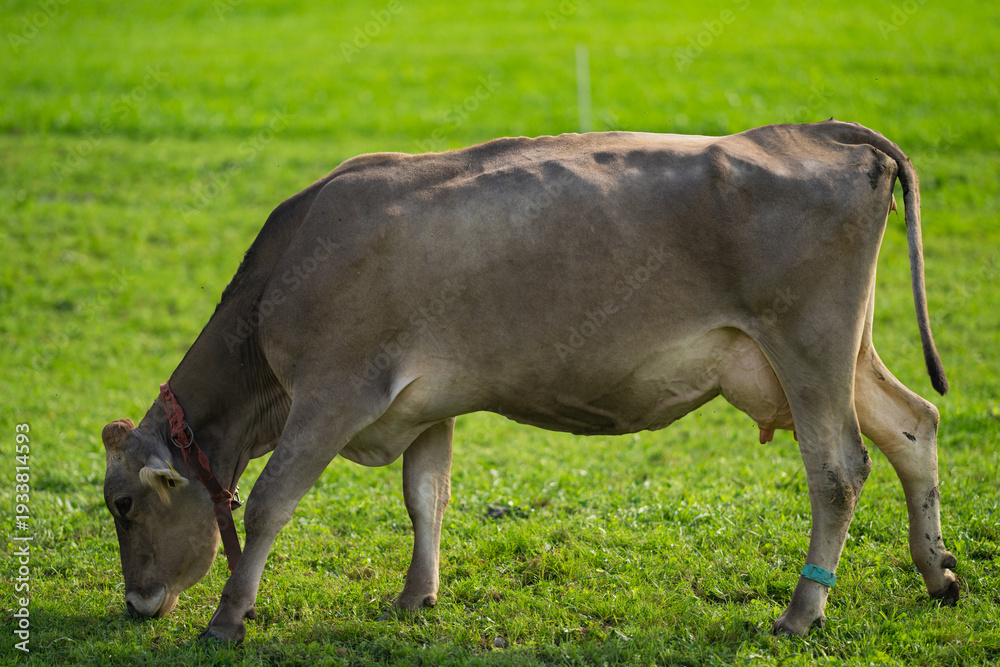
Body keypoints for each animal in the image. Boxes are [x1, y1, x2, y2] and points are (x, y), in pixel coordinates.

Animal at [102, 120, 959, 643]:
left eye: (123, 505)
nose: (137, 605)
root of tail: (812, 132)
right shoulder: (427, 404)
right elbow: (426, 495)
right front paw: (415, 595)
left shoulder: (333, 390)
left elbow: (271, 500)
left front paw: (227, 617)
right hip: (842, 352)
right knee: (912, 422)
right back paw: (938, 571)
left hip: (809, 345)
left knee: (839, 469)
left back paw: (801, 611)